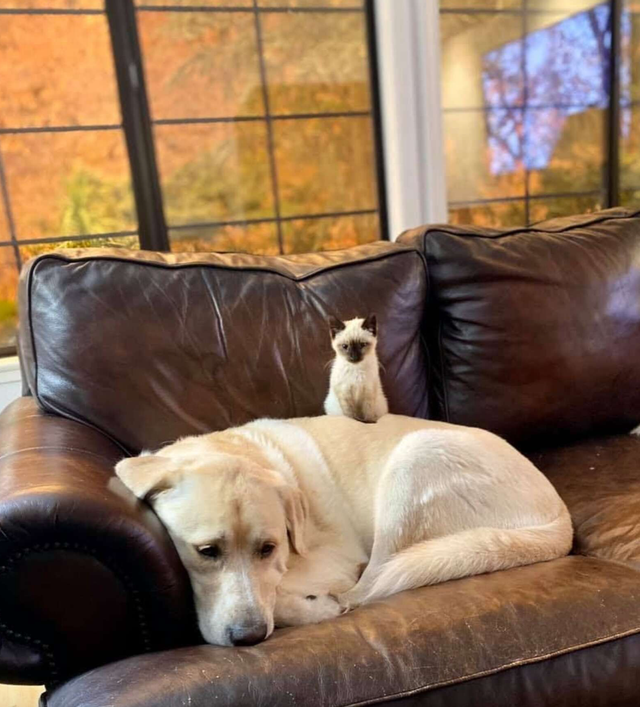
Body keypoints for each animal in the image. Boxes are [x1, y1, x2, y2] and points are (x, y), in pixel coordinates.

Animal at [115, 414, 573, 646]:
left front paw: (306, 604)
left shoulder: (333, 556)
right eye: (207, 551)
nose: (249, 637)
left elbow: (281, 588)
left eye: (268, 548)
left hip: (411, 461)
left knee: (370, 583)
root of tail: (560, 517)